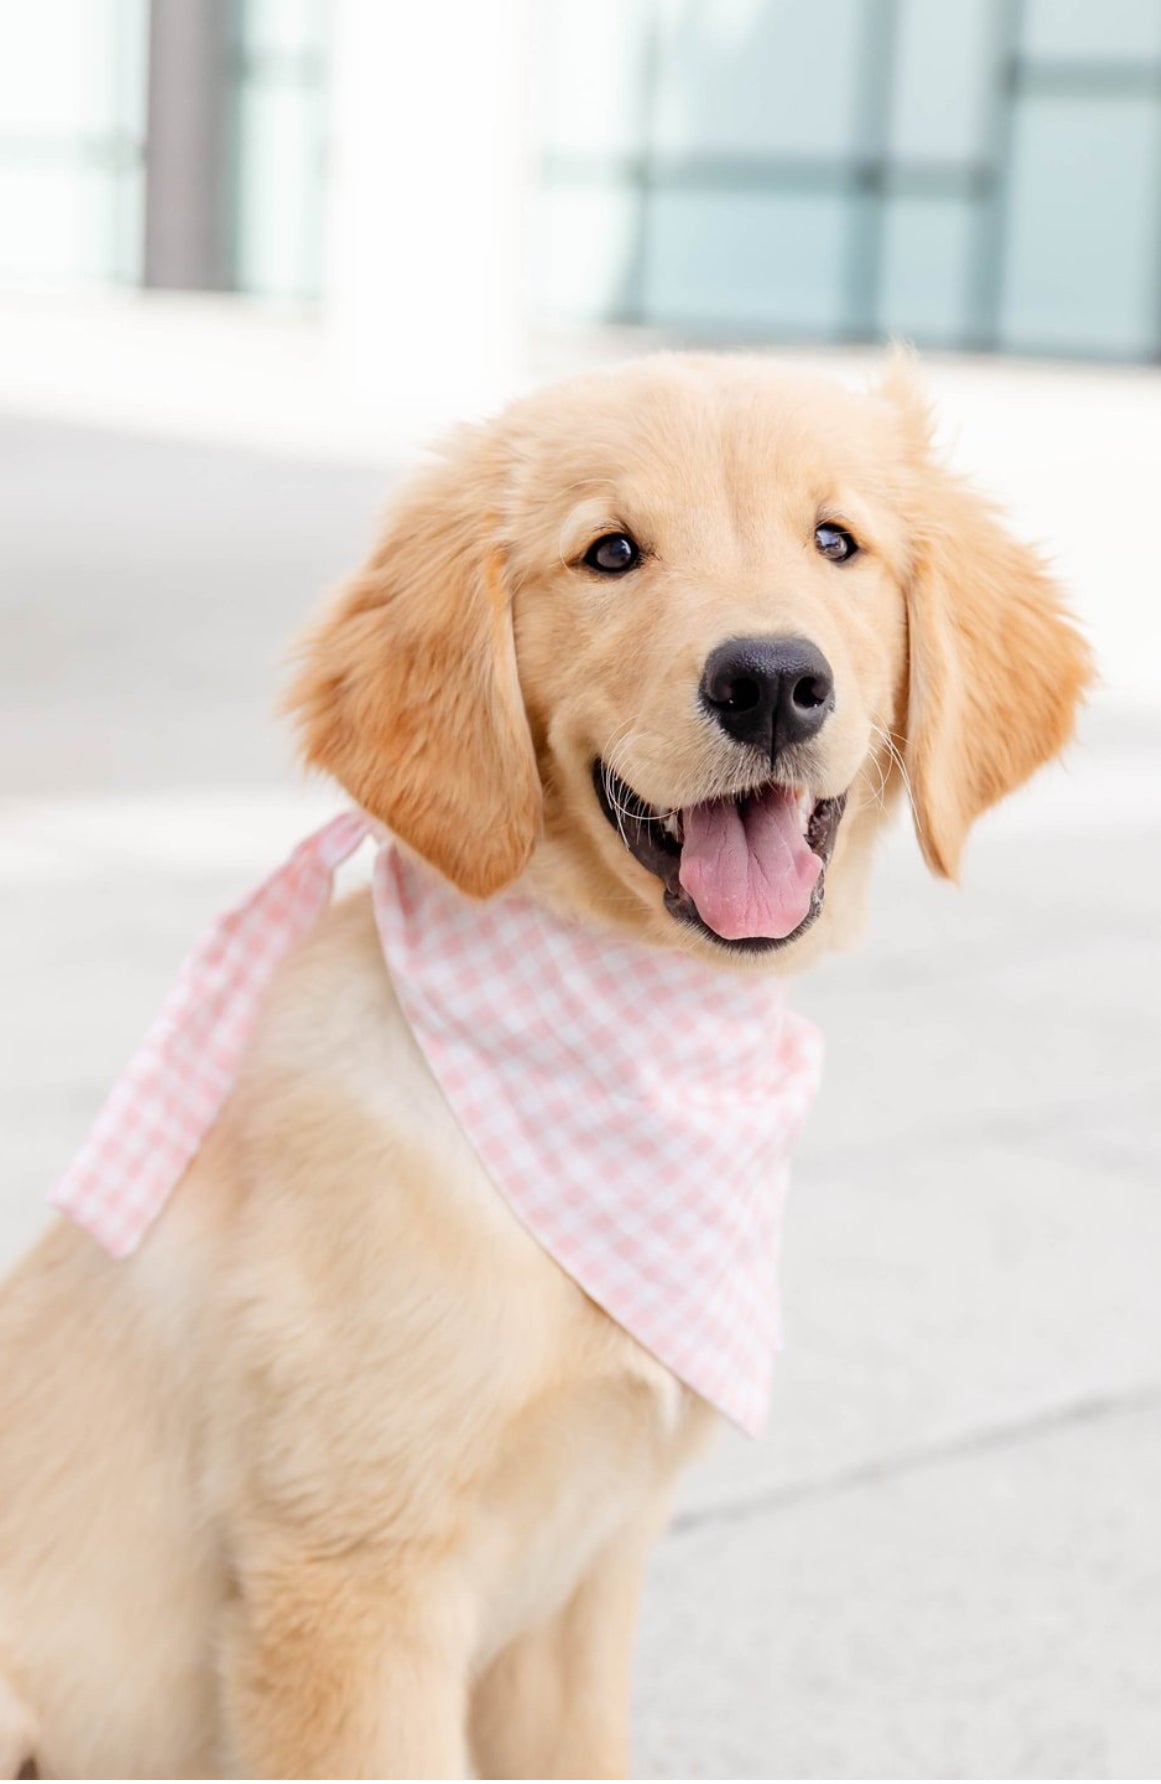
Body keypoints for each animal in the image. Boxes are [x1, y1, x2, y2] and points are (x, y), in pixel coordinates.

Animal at [0, 355, 1091, 1776]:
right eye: (610, 552)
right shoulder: (352, 1580)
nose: (771, 679)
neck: (633, 1029)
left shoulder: (589, 1578)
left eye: (835, 541)